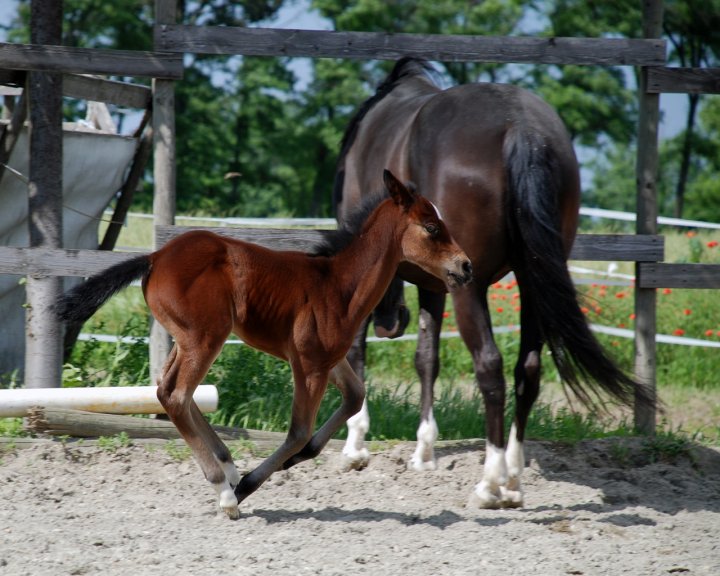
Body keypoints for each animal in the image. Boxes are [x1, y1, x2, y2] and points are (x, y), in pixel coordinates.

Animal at [56, 170, 472, 516]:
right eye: (432, 227)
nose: (466, 266)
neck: (339, 285)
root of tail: (156, 256)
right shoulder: (308, 364)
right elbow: (299, 431)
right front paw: (247, 486)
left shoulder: (329, 360)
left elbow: (354, 397)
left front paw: (286, 463)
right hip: (205, 338)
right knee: (175, 395)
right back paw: (225, 492)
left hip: (186, 339)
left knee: (167, 390)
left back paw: (227, 465)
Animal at [338, 57, 652, 508]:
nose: (391, 321)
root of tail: (521, 128)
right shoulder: (434, 283)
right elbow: (426, 357)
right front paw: (423, 453)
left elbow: (357, 349)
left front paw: (355, 446)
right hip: (531, 282)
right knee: (528, 371)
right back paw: (514, 480)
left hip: (469, 288)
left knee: (490, 366)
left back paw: (491, 482)